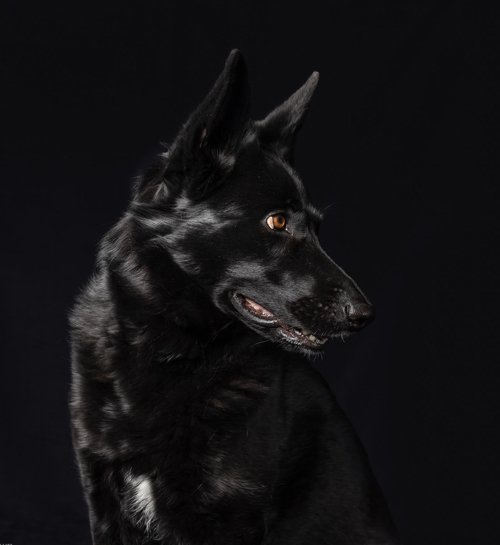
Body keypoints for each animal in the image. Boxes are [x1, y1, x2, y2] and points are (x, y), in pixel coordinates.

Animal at [70, 50, 399, 545]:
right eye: (277, 222)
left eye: (317, 228)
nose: (365, 314)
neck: (170, 350)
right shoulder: (103, 503)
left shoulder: (230, 516)